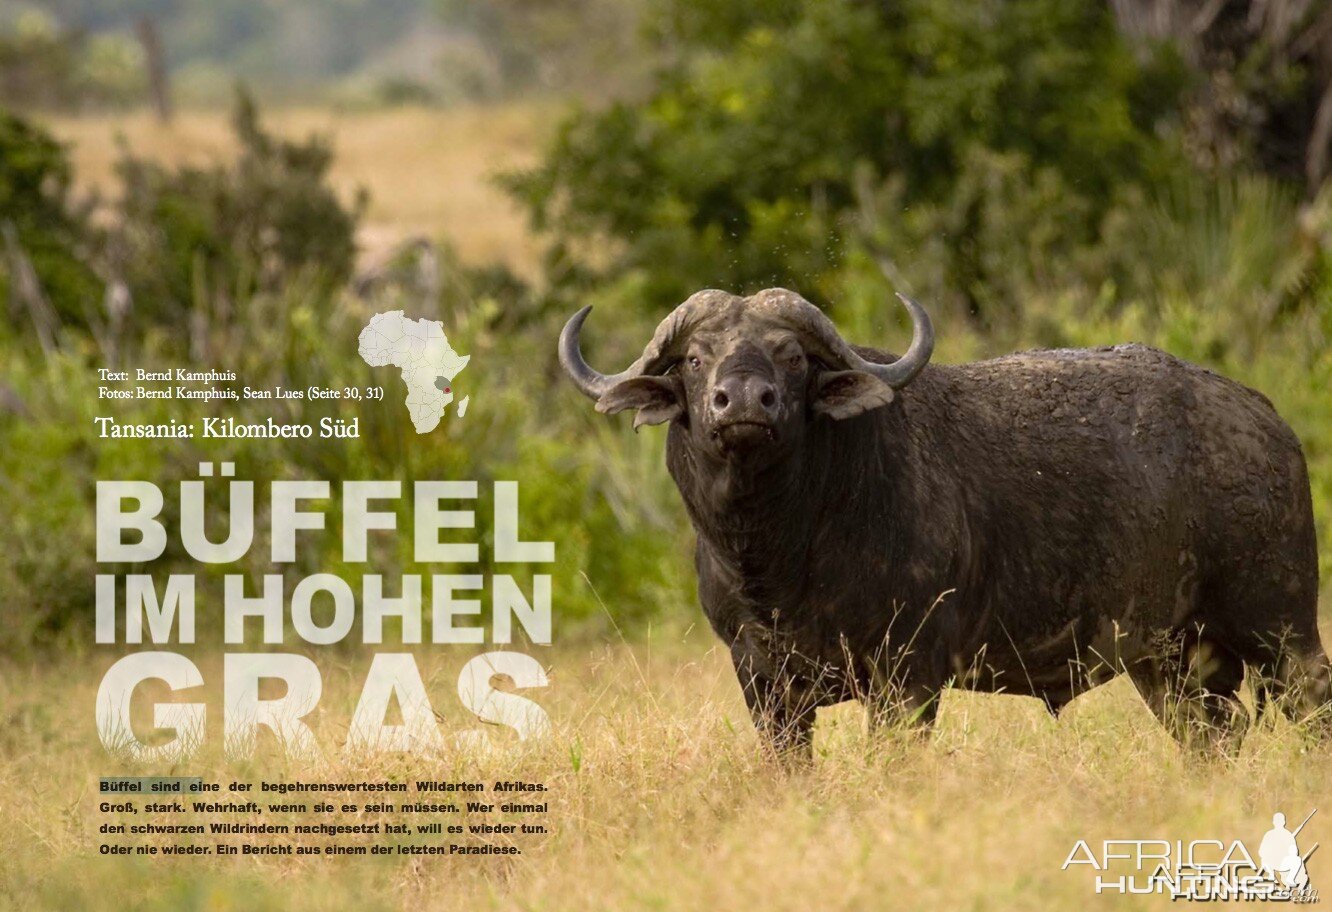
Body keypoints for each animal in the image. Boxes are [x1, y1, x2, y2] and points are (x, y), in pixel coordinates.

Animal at [556, 286, 1326, 756]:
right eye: (694, 358)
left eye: (794, 357)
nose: (744, 401)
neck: (783, 556)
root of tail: (1265, 419)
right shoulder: (763, 683)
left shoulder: (910, 671)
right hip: (1171, 659)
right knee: (1214, 735)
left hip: (1280, 627)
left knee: (1309, 703)